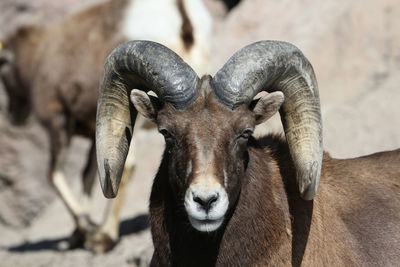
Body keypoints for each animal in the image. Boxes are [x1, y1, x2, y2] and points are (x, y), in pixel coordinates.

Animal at [0, 0, 212, 253]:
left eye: (4, 66)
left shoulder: (59, 123)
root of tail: (181, 16)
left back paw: (104, 238)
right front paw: (76, 237)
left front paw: (87, 230)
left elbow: (54, 175)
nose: (14, 117)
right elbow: (89, 176)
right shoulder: (96, 135)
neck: (39, 56)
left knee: (127, 165)